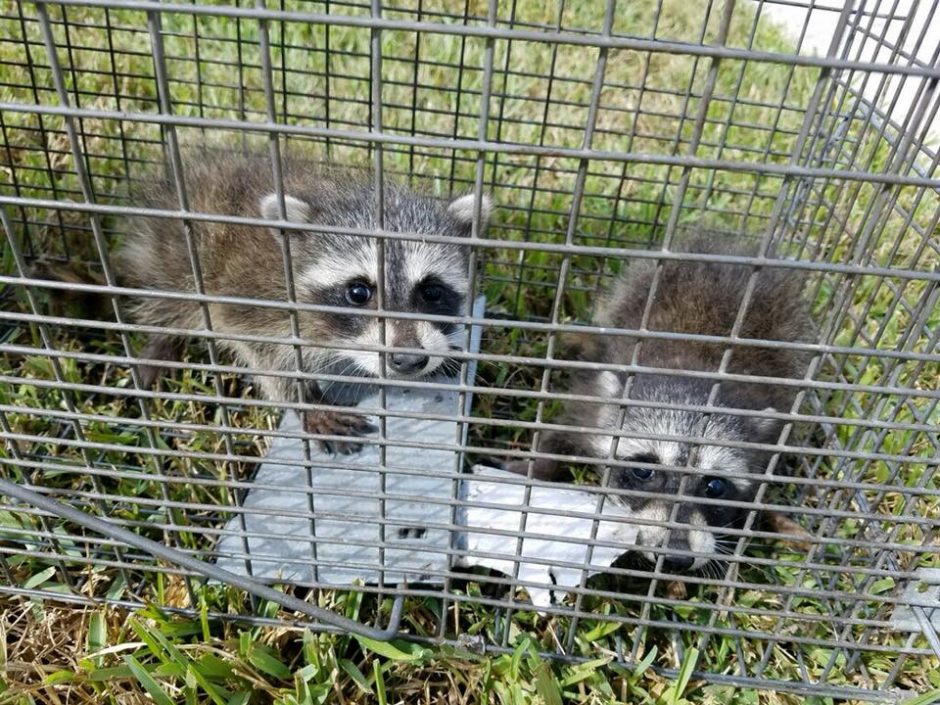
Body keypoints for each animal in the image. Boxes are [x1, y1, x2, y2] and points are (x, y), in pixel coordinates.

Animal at [117, 149, 490, 453]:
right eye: (358, 293)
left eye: (431, 292)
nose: (409, 361)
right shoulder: (250, 296)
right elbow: (264, 354)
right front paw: (305, 399)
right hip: (176, 257)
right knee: (170, 305)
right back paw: (160, 346)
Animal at [516, 236, 815, 571]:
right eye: (644, 472)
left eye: (715, 486)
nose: (676, 557)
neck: (700, 371)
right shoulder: (592, 400)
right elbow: (559, 433)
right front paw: (533, 468)